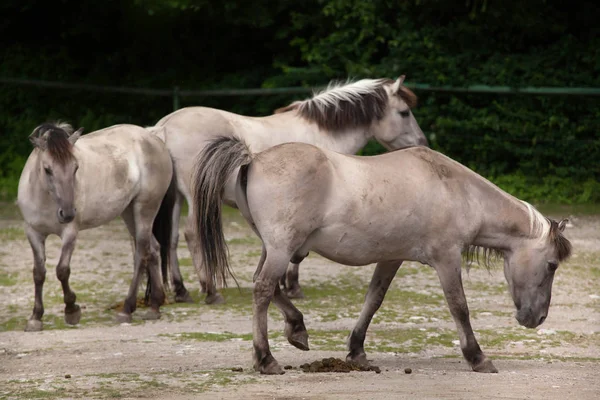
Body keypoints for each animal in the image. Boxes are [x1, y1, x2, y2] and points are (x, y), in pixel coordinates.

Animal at [17, 122, 176, 332]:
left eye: (76, 168)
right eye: (47, 169)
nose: (68, 213)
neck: (45, 198)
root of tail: (155, 139)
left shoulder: (70, 233)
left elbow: (62, 270)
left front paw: (72, 310)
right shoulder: (34, 233)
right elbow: (38, 273)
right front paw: (35, 318)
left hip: (145, 209)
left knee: (141, 253)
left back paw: (127, 309)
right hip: (129, 212)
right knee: (154, 249)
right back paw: (155, 307)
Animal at [152, 74, 428, 304]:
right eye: (404, 113)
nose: (422, 142)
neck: (323, 133)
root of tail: (164, 126)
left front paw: (284, 284)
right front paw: (293, 286)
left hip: (177, 198)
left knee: (172, 238)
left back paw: (181, 290)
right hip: (195, 198)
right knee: (191, 234)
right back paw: (210, 290)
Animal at [192, 137, 572, 376]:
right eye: (552, 265)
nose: (537, 318)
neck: (456, 190)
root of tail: (252, 160)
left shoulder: (392, 258)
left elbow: (373, 299)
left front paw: (357, 351)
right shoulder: (446, 259)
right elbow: (459, 307)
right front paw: (477, 357)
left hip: (275, 249)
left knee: (269, 288)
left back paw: (297, 330)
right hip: (281, 249)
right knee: (262, 289)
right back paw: (266, 358)